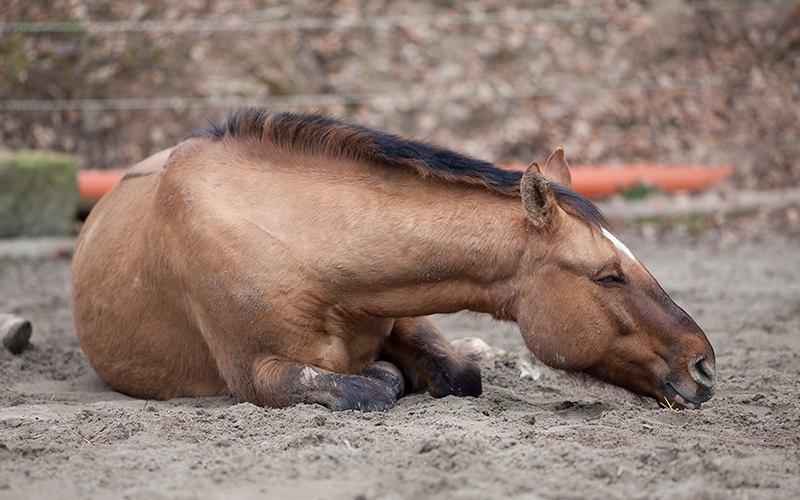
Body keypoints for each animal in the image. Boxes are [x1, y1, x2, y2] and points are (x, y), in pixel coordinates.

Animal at [72, 111, 716, 412]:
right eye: (607, 275)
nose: (704, 367)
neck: (303, 245)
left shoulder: (404, 307)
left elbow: (459, 373)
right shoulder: (258, 374)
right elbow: (369, 387)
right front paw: (387, 377)